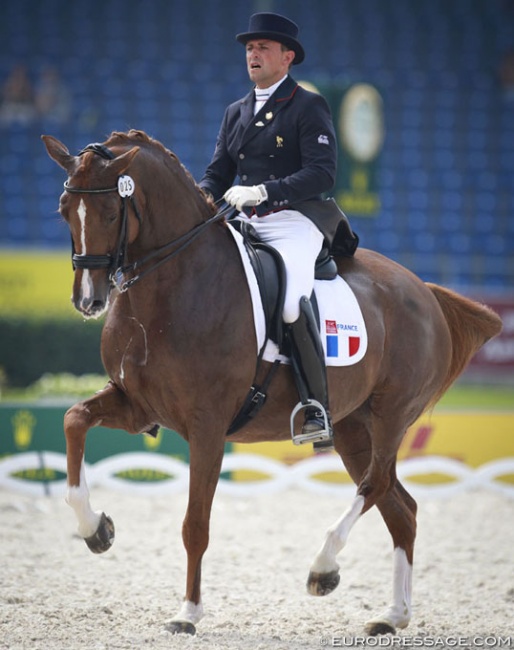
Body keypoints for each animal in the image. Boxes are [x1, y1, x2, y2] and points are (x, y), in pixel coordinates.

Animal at [43, 129, 500, 636]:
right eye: (64, 209)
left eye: (109, 212)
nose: (88, 300)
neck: (171, 287)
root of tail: (425, 290)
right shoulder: (136, 405)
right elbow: (73, 420)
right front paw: (95, 529)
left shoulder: (206, 427)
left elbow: (194, 524)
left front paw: (187, 613)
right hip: (352, 428)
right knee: (401, 508)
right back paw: (392, 615)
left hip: (392, 414)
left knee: (376, 485)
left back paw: (323, 569)